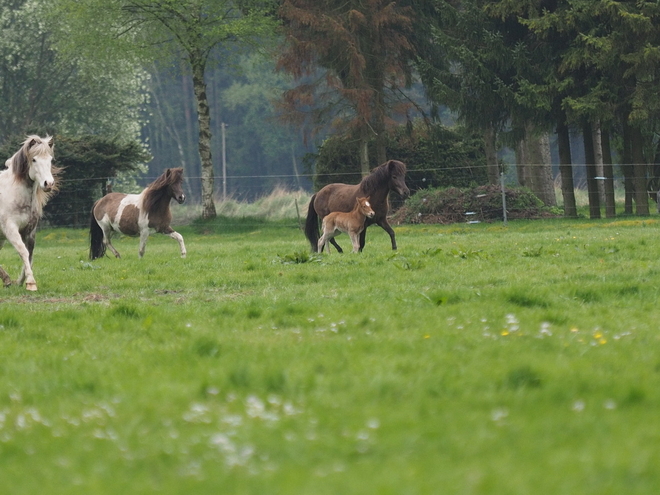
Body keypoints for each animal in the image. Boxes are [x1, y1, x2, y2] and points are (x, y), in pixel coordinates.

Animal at [0, 136, 58, 290]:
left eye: (50, 159)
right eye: (34, 159)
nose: (48, 184)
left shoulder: (30, 230)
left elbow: (30, 254)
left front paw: (21, 281)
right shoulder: (11, 229)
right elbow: (22, 251)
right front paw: (31, 282)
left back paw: (7, 280)